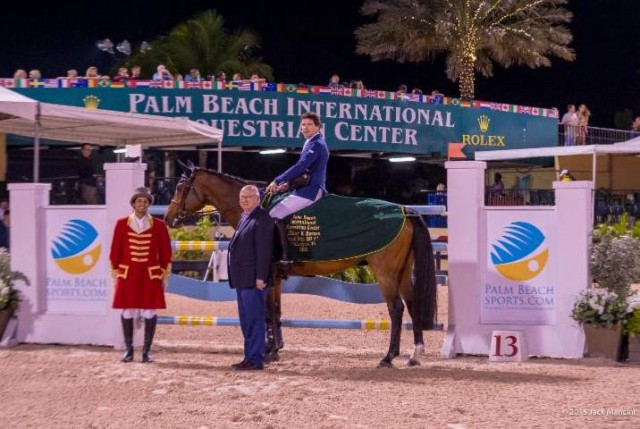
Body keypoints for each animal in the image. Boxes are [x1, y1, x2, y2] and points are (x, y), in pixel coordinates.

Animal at [165, 166, 440, 366]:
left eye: (180, 187)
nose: (168, 219)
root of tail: (404, 210)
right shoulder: (275, 277)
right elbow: (276, 311)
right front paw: (275, 349)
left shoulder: (267, 274)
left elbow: (268, 312)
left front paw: (268, 352)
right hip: (402, 272)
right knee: (412, 304)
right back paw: (414, 354)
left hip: (385, 273)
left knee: (396, 309)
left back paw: (388, 357)